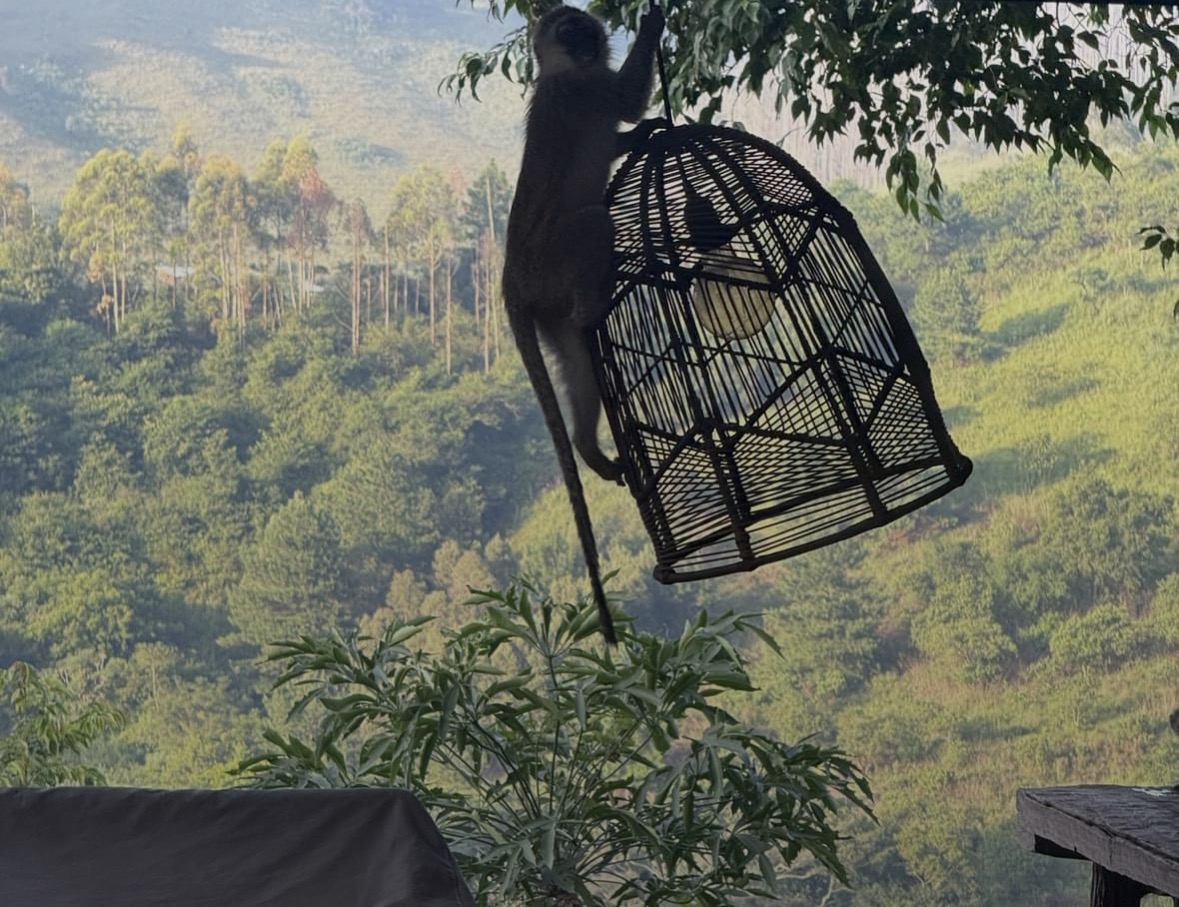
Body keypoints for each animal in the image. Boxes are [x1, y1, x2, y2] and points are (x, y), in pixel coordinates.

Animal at [502, 3, 664, 644]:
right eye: (566, 32)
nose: (586, 41)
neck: (564, 72)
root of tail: (512, 282)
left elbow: (627, 119)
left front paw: (639, 136)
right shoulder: (583, 93)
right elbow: (624, 100)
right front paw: (654, 19)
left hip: (547, 297)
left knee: (575, 361)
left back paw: (586, 445)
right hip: (556, 259)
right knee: (595, 222)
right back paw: (594, 304)